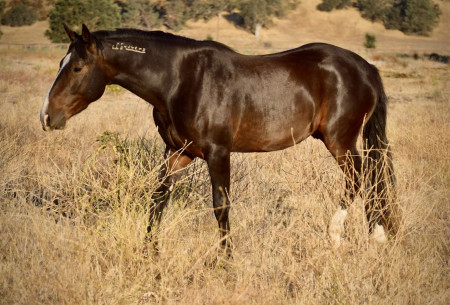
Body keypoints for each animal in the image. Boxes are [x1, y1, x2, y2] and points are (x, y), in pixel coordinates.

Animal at [39, 23, 398, 252]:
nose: (46, 116)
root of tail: (366, 68)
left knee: (361, 177)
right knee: (370, 177)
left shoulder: (218, 152)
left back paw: (344, 235)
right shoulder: (176, 152)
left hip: (340, 141)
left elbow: (221, 207)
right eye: (60, 63)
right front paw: (149, 253)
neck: (180, 80)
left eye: (77, 68)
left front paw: (225, 261)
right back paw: (374, 235)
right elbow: (158, 200)